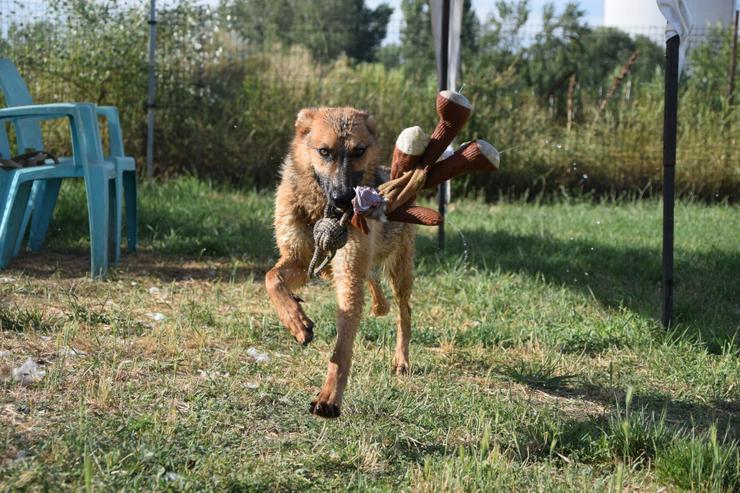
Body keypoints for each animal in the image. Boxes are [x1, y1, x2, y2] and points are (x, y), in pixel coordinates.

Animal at [266, 105, 416, 418]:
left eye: (359, 150)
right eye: (324, 151)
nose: (345, 199)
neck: (318, 211)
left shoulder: (347, 275)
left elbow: (343, 347)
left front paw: (329, 398)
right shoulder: (300, 261)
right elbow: (272, 279)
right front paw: (296, 321)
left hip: (400, 271)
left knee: (403, 313)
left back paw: (401, 359)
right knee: (374, 284)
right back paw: (379, 306)